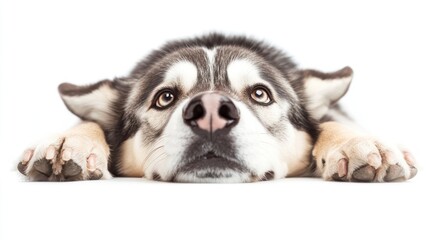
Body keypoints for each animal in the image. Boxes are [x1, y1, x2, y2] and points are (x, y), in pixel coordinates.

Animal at [18, 32, 416, 182]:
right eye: (165, 97)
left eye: (260, 94)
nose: (210, 109)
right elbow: (86, 125)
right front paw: (70, 142)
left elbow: (333, 121)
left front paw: (361, 144)